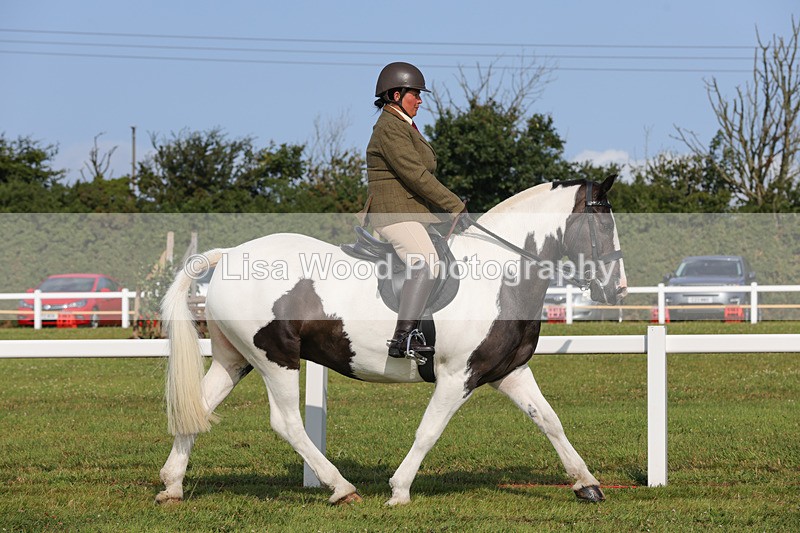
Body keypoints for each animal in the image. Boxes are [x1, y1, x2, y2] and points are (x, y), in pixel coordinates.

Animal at [155, 175, 628, 506]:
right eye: (603, 223)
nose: (617, 290)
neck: (503, 273)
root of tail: (229, 255)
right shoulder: (458, 376)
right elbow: (429, 430)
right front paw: (399, 490)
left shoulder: (508, 371)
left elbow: (549, 420)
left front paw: (586, 484)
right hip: (276, 358)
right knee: (286, 423)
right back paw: (341, 487)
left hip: (235, 358)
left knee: (200, 406)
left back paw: (172, 486)